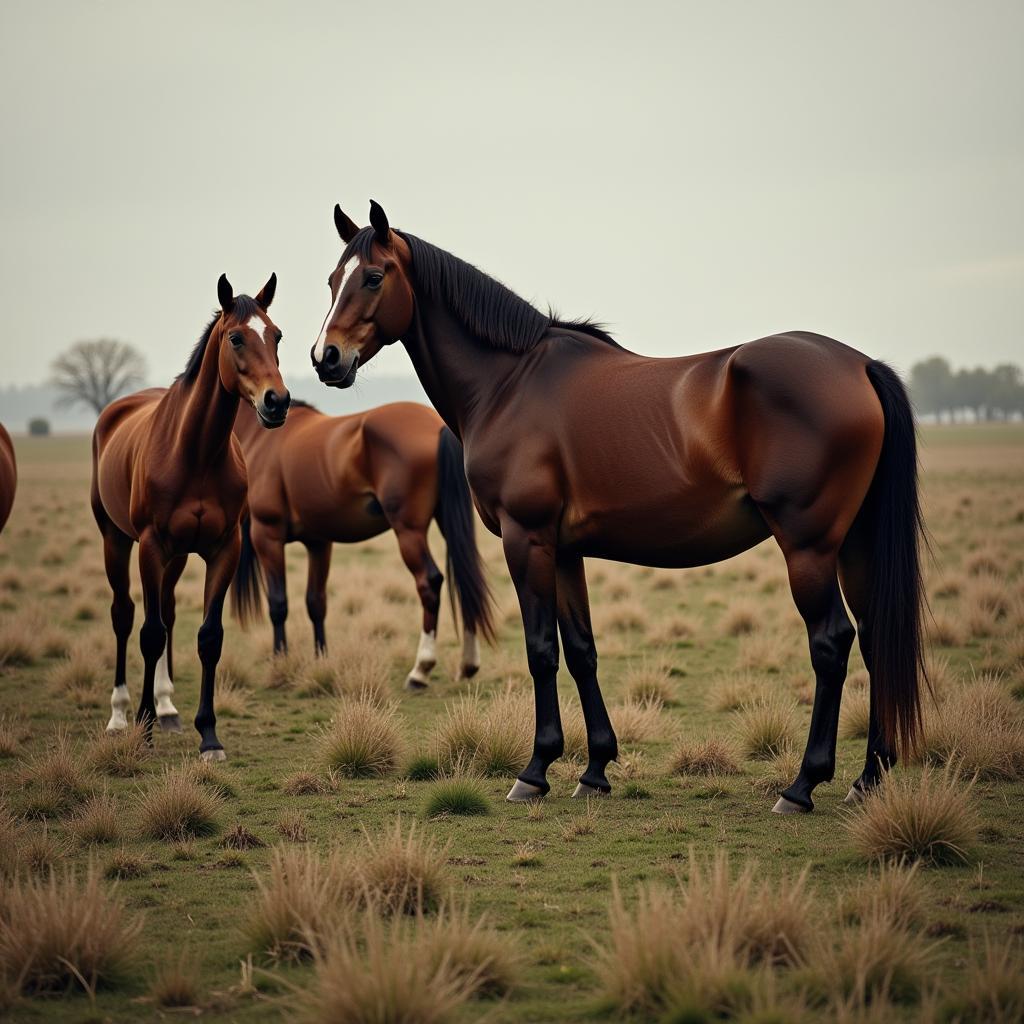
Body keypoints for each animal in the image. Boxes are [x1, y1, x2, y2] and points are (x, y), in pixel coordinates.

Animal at [90, 272, 290, 761]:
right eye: (236, 338)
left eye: (276, 335)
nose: (277, 402)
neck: (196, 453)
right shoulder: (151, 546)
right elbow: (149, 633)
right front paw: (142, 727)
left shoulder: (223, 549)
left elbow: (208, 636)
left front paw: (209, 735)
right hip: (115, 541)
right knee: (125, 615)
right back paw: (120, 715)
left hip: (177, 557)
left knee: (168, 612)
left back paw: (166, 708)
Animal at [230, 399, 493, 688]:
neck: (262, 437)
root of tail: (437, 426)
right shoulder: (318, 542)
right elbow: (316, 602)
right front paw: (321, 661)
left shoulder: (267, 535)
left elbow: (278, 604)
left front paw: (280, 661)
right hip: (447, 518)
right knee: (467, 578)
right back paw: (468, 664)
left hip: (409, 532)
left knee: (429, 582)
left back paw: (420, 669)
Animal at [309, 203, 929, 815]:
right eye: (332, 279)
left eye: (373, 276)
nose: (325, 359)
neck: (508, 383)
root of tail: (859, 366)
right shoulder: (563, 550)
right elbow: (581, 649)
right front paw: (595, 769)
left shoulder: (526, 538)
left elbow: (541, 649)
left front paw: (534, 772)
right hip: (853, 543)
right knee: (874, 637)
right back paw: (868, 777)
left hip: (808, 546)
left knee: (832, 643)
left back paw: (802, 786)